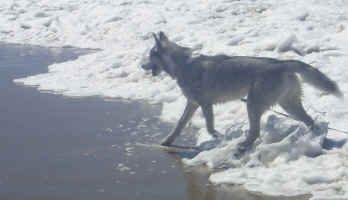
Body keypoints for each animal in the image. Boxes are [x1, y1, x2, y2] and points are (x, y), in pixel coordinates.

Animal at [141, 31, 342, 153]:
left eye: (149, 56)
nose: (141, 66)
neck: (184, 65)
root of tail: (281, 63)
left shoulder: (205, 104)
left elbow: (209, 127)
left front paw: (219, 138)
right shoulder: (192, 104)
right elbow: (178, 125)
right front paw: (167, 142)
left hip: (253, 105)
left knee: (255, 133)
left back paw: (242, 146)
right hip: (288, 105)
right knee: (311, 122)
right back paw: (315, 140)